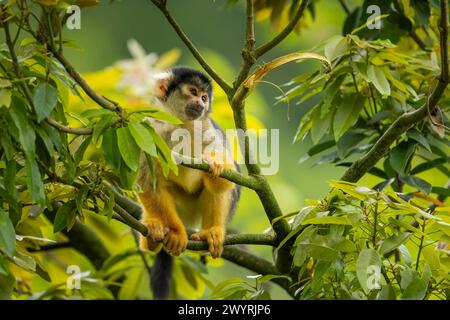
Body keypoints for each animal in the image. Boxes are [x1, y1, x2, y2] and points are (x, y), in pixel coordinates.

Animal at [136, 66, 241, 298]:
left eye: (204, 97)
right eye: (193, 92)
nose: (201, 104)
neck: (180, 125)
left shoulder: (208, 128)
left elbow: (228, 177)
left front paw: (216, 163)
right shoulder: (150, 130)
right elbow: (146, 182)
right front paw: (175, 233)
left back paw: (212, 231)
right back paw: (154, 234)